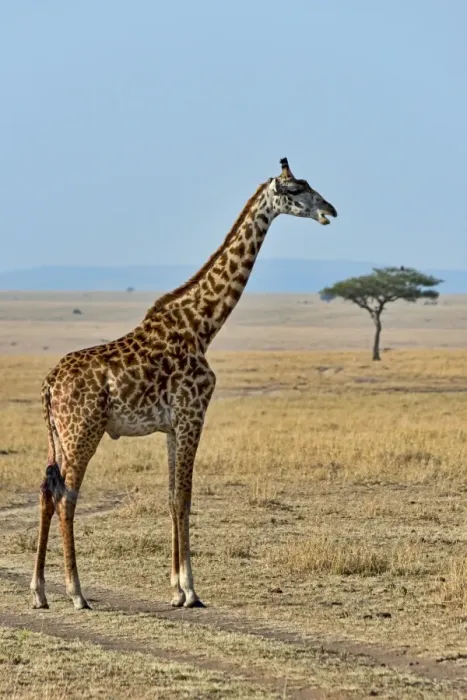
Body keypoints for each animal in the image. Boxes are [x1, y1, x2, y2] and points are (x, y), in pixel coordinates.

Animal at [30, 157, 337, 611]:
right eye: (297, 188)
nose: (330, 210)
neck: (202, 326)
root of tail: (49, 385)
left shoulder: (173, 426)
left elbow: (173, 497)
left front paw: (177, 589)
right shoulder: (193, 414)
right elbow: (185, 498)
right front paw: (191, 591)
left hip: (57, 435)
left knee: (45, 491)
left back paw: (39, 592)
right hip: (82, 431)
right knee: (66, 495)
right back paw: (76, 593)